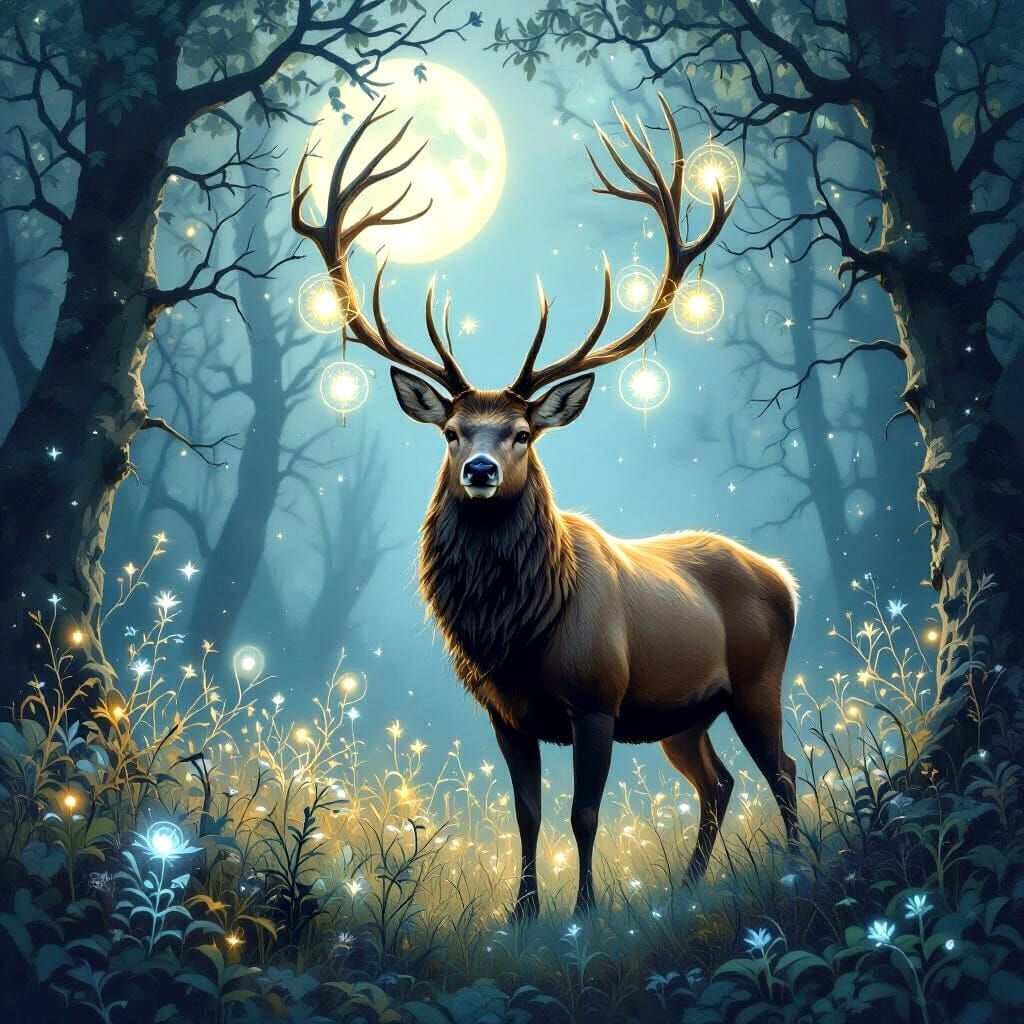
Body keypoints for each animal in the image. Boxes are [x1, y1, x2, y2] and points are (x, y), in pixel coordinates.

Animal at [291, 95, 800, 919]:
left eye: (523, 432)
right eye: (452, 430)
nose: (479, 470)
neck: (519, 631)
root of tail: (785, 577)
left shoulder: (597, 700)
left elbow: (583, 812)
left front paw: (584, 913)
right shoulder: (506, 714)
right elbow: (526, 813)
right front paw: (523, 913)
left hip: (758, 680)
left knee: (780, 768)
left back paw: (792, 862)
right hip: (684, 716)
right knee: (720, 782)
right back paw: (690, 887)